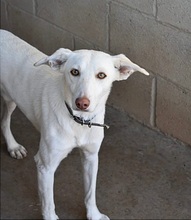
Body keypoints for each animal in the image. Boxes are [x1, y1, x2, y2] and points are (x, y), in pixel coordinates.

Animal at [0, 29, 149, 220]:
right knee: (5, 120)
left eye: (101, 75)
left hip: (11, 99)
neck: (79, 122)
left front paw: (94, 214)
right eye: (74, 72)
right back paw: (13, 146)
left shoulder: (91, 156)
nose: (82, 103)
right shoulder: (45, 166)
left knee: (4, 120)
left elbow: (90, 193)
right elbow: (48, 203)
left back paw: (13, 146)